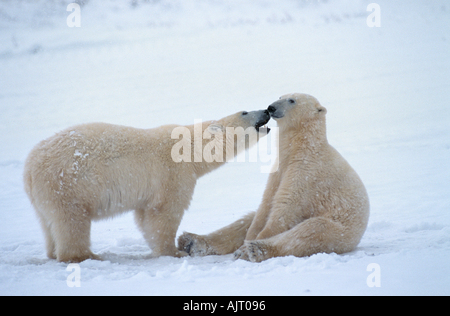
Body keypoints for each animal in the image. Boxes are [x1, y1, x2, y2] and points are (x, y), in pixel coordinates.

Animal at [23, 108, 270, 262]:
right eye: (245, 111)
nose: (266, 110)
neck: (189, 147)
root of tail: (29, 170)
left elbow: (144, 216)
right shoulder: (172, 173)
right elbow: (164, 213)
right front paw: (174, 252)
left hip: (45, 195)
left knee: (49, 224)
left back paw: (53, 252)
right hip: (68, 185)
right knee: (72, 221)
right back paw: (85, 255)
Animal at [178, 93, 370, 262]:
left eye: (292, 100)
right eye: (280, 96)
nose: (271, 107)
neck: (302, 149)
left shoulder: (307, 172)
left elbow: (285, 208)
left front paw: (249, 245)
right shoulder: (279, 169)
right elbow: (266, 203)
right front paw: (249, 238)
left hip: (341, 228)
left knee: (310, 232)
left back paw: (254, 250)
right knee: (244, 220)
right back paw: (191, 241)